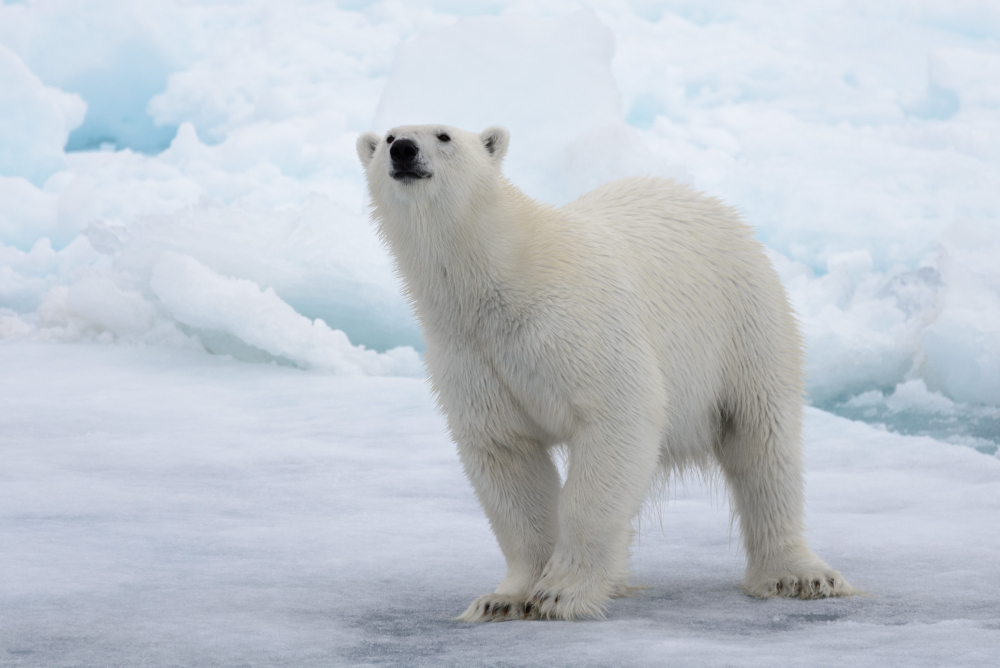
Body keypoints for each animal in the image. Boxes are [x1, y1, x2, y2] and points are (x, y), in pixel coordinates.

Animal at [356, 124, 859, 621]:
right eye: (388, 137)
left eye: (443, 135)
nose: (404, 151)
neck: (504, 279)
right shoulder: (470, 356)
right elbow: (505, 455)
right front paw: (504, 598)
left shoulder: (578, 327)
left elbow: (618, 418)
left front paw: (562, 592)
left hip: (745, 324)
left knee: (763, 442)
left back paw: (800, 575)